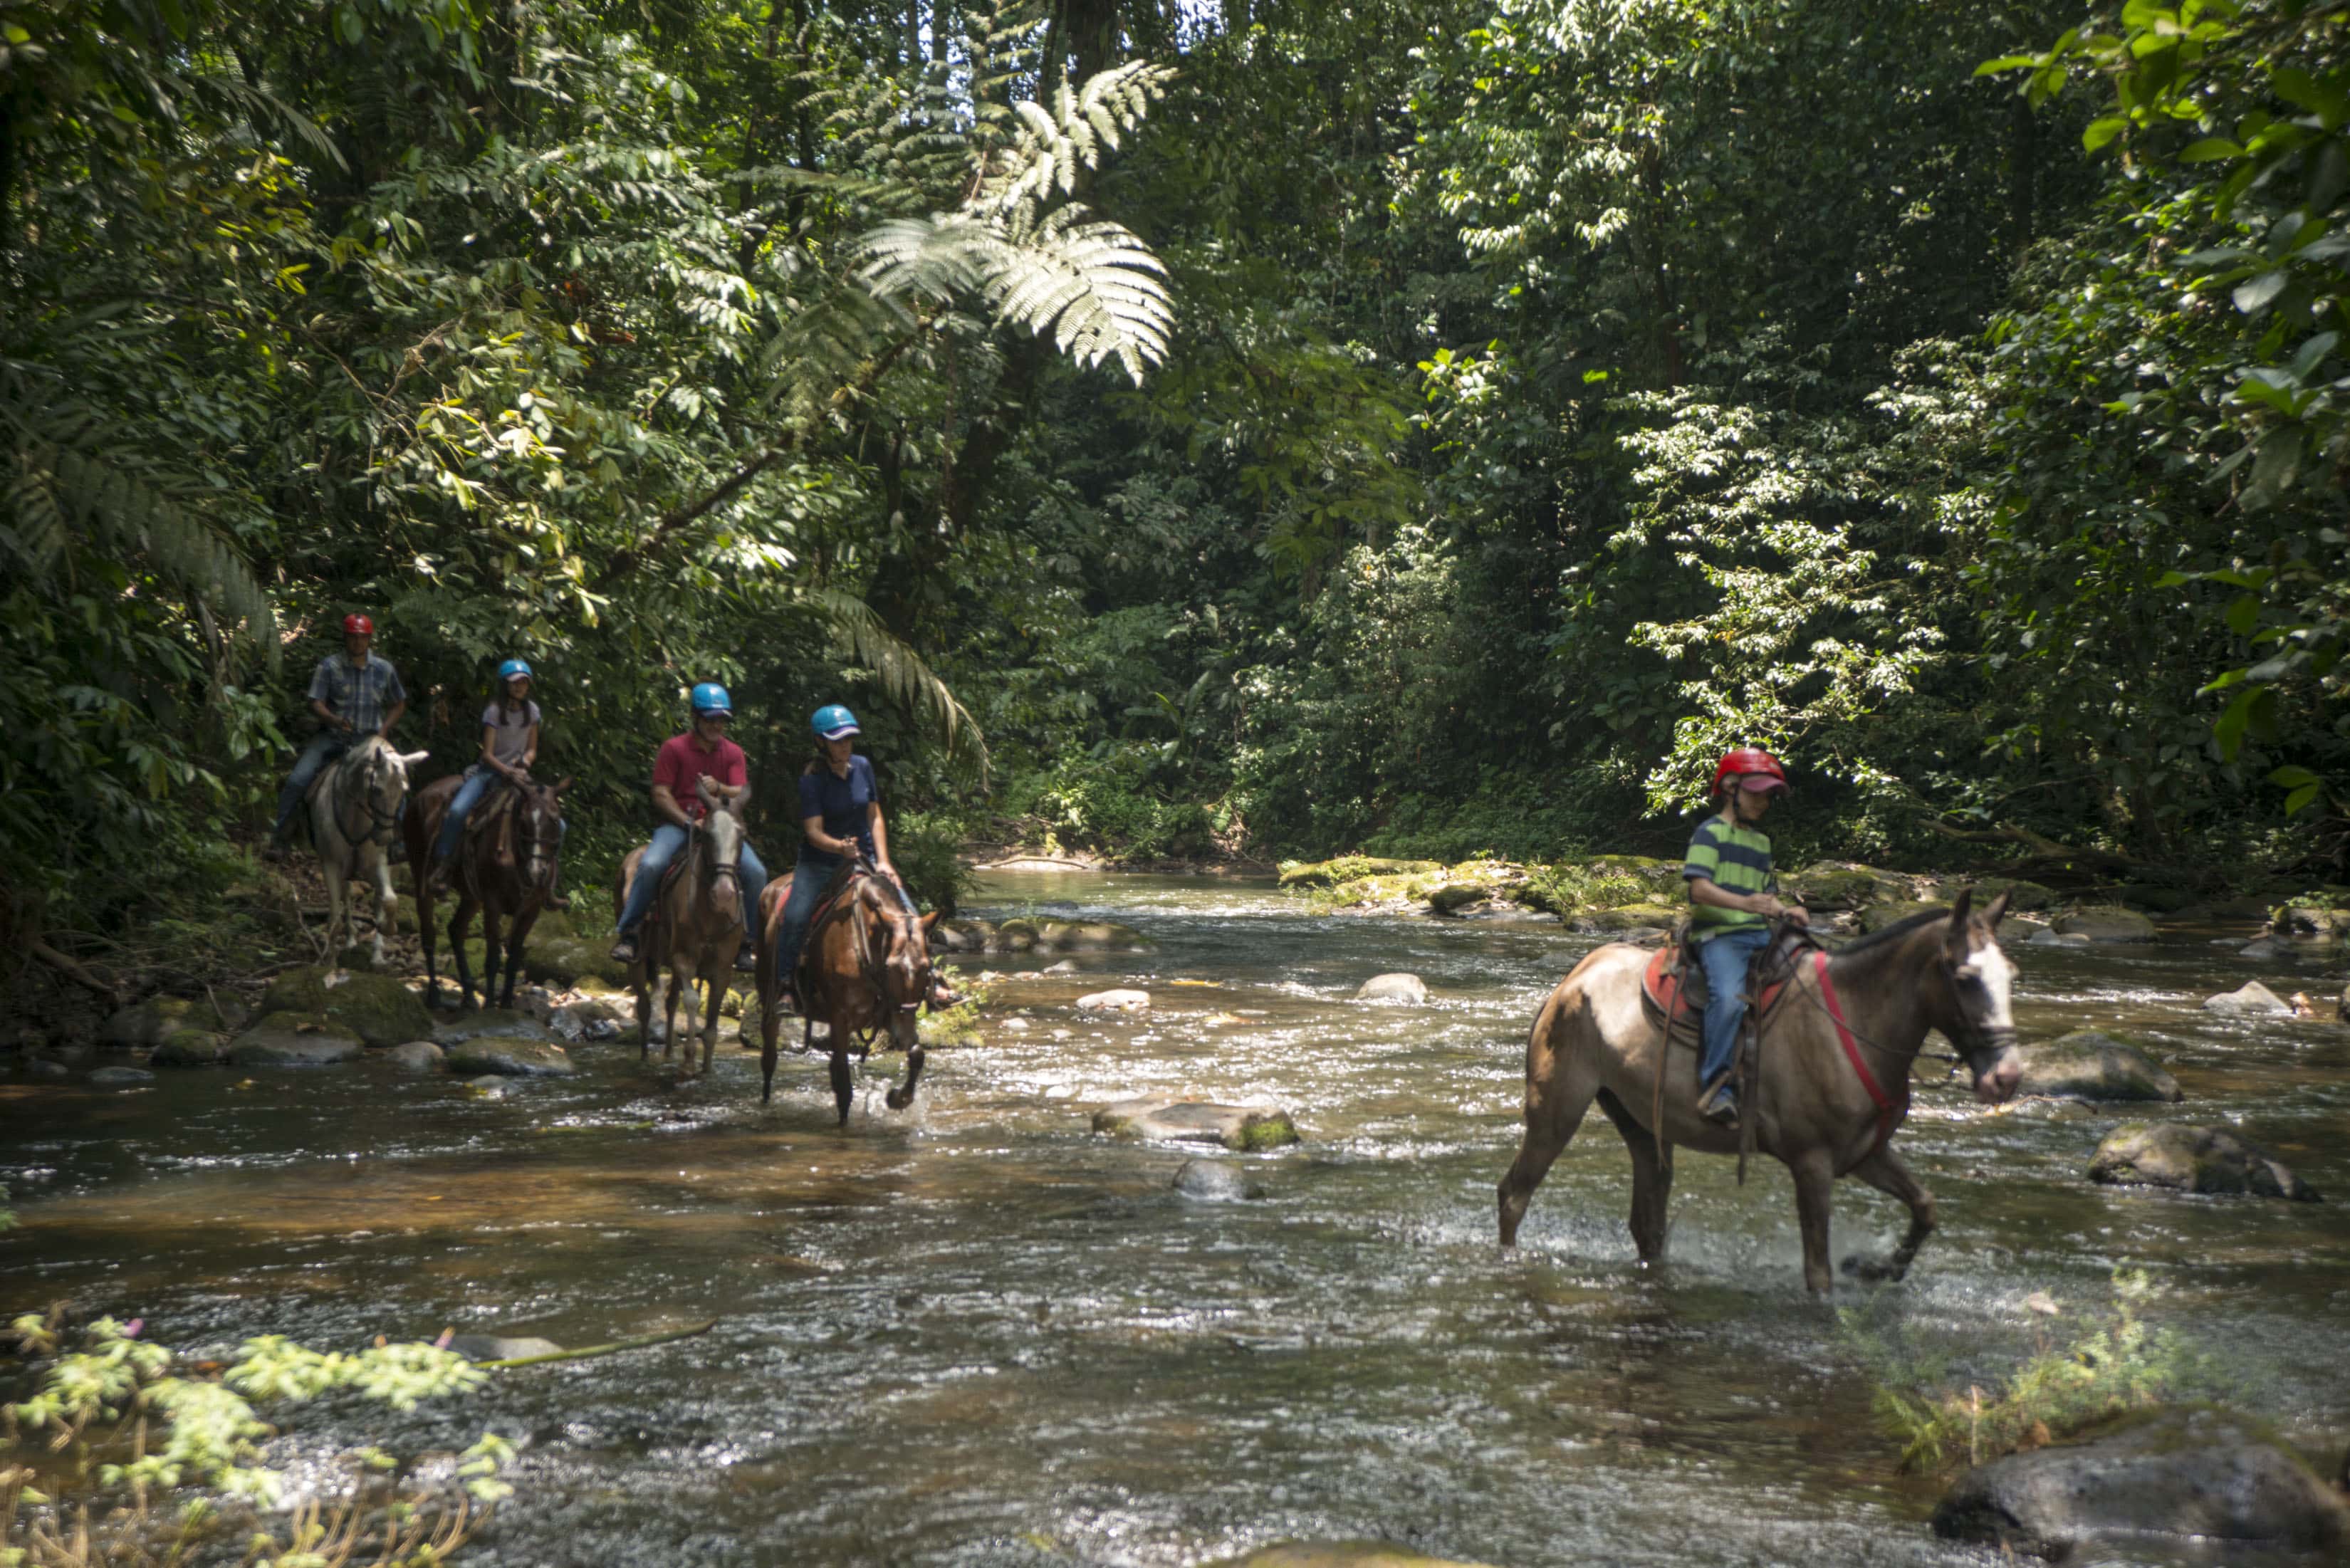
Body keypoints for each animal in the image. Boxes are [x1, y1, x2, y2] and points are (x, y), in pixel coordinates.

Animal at [301, 738, 429, 968]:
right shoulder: (330, 864)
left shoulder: (378, 863)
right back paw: (351, 939)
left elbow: (390, 900)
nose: (385, 838)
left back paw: (377, 954)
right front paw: (330, 961)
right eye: (376, 789)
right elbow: (335, 915)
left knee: (378, 900)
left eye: (404, 791)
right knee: (348, 896)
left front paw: (388, 928)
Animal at [404, 780, 568, 1010]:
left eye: (554, 820)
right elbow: (492, 958)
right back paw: (435, 996)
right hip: (422, 877)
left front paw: (506, 1003)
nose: (536, 873)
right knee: (429, 935)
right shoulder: (493, 903)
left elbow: (514, 958)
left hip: (472, 897)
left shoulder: (532, 908)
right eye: (523, 821)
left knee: (456, 930)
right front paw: (490, 1005)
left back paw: (469, 996)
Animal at [615, 785, 742, 1081]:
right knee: (645, 1007)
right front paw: (688, 1063)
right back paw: (646, 1058)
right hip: (639, 961)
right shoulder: (685, 959)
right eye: (707, 835)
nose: (724, 893)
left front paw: (707, 1067)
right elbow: (693, 1000)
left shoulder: (723, 968)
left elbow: (711, 1019)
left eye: (742, 834)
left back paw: (667, 1053)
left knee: (670, 1002)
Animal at [752, 860, 935, 1128]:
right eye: (891, 967)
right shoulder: (840, 1018)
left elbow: (917, 1055)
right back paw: (765, 1103)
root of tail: (770, 887)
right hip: (768, 997)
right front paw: (844, 1124)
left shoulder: (887, 1013)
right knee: (769, 1058)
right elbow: (842, 1079)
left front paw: (896, 1098)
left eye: (925, 966)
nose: (905, 1036)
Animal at [1504, 888, 2021, 1297]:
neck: (1852, 1020)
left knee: (1647, 1223)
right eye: (1964, 978)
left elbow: (1925, 1208)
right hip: (1557, 1109)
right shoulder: (1812, 1163)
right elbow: (1818, 1274)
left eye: (2010, 975)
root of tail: (1571, 981)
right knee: (1515, 1193)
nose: (2007, 1076)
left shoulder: (1865, 1153)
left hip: (1642, 1126)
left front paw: (1872, 1268)